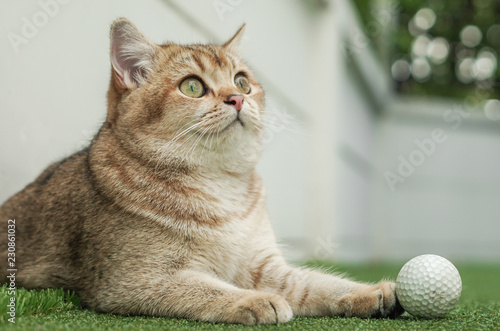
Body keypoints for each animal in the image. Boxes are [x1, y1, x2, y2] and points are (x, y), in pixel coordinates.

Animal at [0, 17, 404, 324]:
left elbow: (315, 283)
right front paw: (252, 299)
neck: (221, 186)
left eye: (242, 81)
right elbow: (202, 287)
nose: (237, 98)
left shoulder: (264, 265)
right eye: (192, 86)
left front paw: (373, 292)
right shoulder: (131, 280)